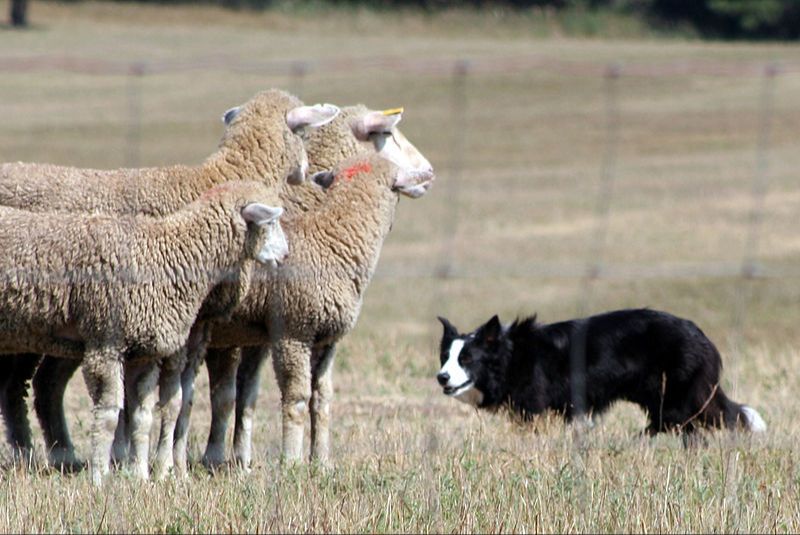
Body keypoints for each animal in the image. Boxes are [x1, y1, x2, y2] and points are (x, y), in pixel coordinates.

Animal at [0, 180, 288, 486]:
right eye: (270, 222)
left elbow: (142, 416)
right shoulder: (106, 343)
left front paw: (140, 476)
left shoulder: (144, 351)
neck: (169, 254)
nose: (285, 255)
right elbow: (109, 416)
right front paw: (100, 478)